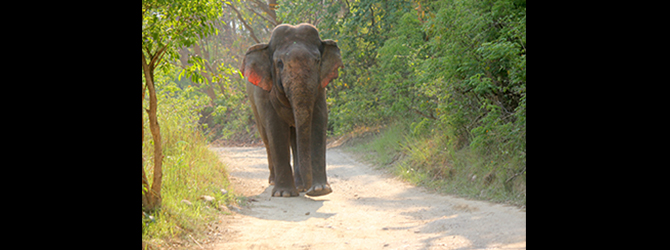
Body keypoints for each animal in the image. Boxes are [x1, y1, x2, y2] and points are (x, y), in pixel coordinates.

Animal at [242, 24, 344, 198]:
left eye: (317, 61)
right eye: (279, 63)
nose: (310, 190)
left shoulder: (320, 89)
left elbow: (318, 123)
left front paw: (320, 190)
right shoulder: (267, 96)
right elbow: (276, 129)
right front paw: (284, 193)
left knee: (295, 137)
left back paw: (300, 186)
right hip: (253, 105)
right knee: (266, 138)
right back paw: (274, 182)